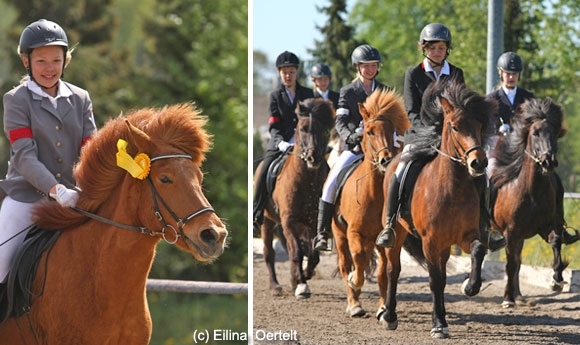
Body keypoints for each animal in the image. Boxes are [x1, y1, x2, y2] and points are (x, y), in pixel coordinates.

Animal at [256, 97, 334, 298]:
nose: (314, 158)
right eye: (303, 129)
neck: (307, 180)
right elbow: (297, 252)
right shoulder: (288, 220)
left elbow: (312, 254)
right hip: (267, 221)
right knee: (269, 253)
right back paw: (275, 286)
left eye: (325, 130)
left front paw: (303, 277)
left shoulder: (313, 221)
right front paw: (301, 285)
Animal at [334, 87, 410, 316]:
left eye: (392, 131)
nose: (386, 159)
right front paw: (355, 282)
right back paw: (354, 304)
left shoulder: (390, 238)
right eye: (368, 132)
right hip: (339, 234)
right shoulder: (354, 232)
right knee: (345, 263)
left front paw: (384, 307)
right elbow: (358, 259)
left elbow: (384, 271)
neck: (375, 194)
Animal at [380, 80, 494, 336]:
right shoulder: (430, 241)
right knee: (394, 270)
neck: (452, 189)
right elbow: (435, 281)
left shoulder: (465, 235)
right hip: (399, 233)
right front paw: (439, 324)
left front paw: (469, 287)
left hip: (443, 245)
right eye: (454, 127)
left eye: (479, 125)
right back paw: (390, 316)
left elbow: (478, 249)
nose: (478, 163)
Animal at [490, 97, 572, 306]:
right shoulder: (510, 232)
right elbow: (510, 264)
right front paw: (507, 300)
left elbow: (555, 241)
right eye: (535, 133)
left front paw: (556, 280)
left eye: (554, 133)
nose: (548, 162)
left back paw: (518, 295)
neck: (531, 191)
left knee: (517, 261)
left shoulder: (545, 226)